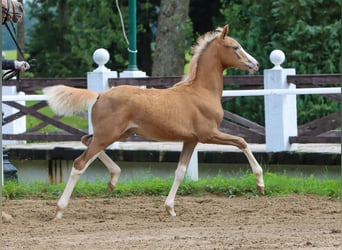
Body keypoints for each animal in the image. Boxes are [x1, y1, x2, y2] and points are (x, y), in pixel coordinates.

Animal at [44, 25, 264, 219]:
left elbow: (180, 171)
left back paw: (113, 179)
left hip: (117, 133)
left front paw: (170, 209)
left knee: (86, 140)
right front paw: (260, 184)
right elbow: (242, 141)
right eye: (235, 47)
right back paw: (60, 210)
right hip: (108, 134)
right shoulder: (208, 134)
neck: (201, 91)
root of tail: (99, 95)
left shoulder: (191, 140)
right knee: (80, 163)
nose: (255, 64)